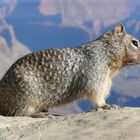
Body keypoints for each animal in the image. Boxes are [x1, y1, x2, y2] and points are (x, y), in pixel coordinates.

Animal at [0, 23, 140, 117]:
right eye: (135, 43)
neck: (105, 51)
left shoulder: (106, 80)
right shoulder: (96, 73)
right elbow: (96, 93)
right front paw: (106, 105)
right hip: (25, 95)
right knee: (21, 111)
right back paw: (39, 114)